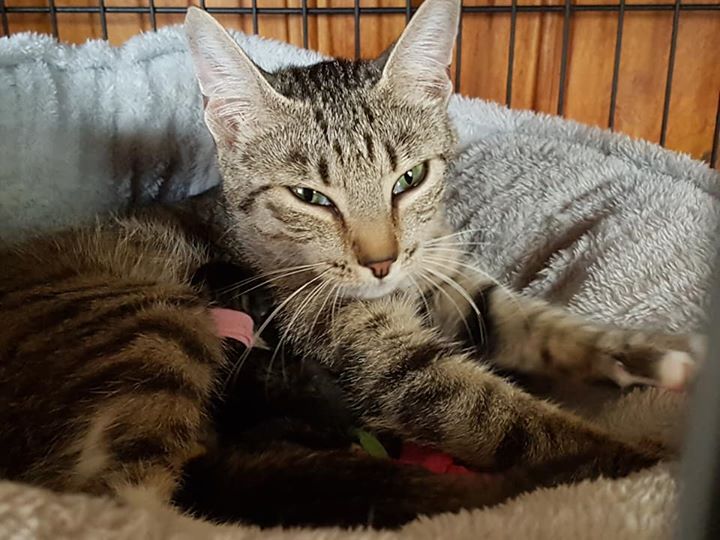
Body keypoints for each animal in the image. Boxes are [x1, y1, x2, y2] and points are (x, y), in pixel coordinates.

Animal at [0, 0, 704, 530]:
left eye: (410, 179)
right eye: (309, 196)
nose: (381, 261)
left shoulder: (446, 280)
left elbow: (535, 322)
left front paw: (648, 352)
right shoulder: (370, 349)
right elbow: (498, 414)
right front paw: (632, 460)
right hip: (152, 325)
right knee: (130, 499)